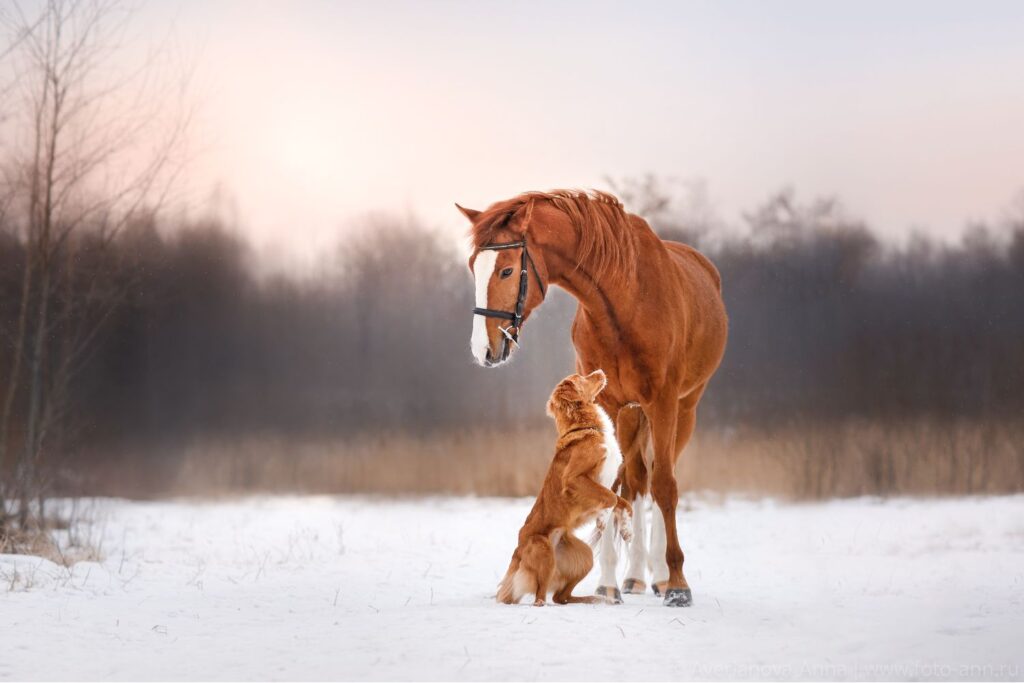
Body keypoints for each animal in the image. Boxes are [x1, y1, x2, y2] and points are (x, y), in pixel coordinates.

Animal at [495, 370, 630, 606]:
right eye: (581, 377)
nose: (600, 371)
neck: (587, 427)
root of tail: (517, 551)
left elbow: (623, 502)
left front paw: (627, 529)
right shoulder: (574, 479)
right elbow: (611, 499)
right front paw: (602, 519)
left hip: (584, 556)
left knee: (561, 597)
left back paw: (596, 599)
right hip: (544, 551)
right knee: (540, 596)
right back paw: (545, 603)